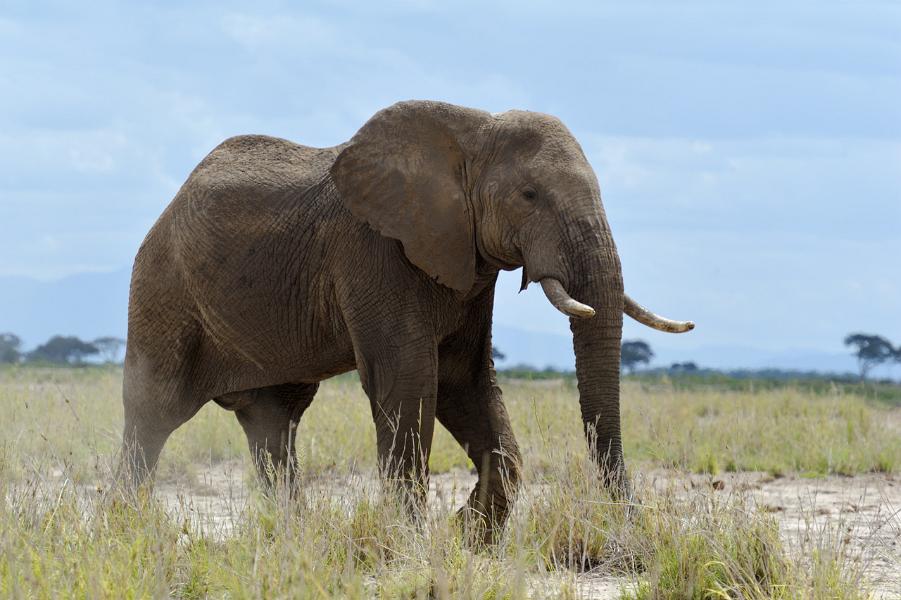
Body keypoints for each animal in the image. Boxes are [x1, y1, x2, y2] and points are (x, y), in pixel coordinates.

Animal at [119, 99, 692, 536]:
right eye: (529, 195)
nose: (631, 522)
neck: (472, 132)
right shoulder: (374, 252)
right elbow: (410, 380)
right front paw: (413, 543)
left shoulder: (468, 264)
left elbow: (465, 381)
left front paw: (467, 536)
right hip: (161, 291)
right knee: (153, 413)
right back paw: (127, 530)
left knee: (275, 422)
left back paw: (292, 537)